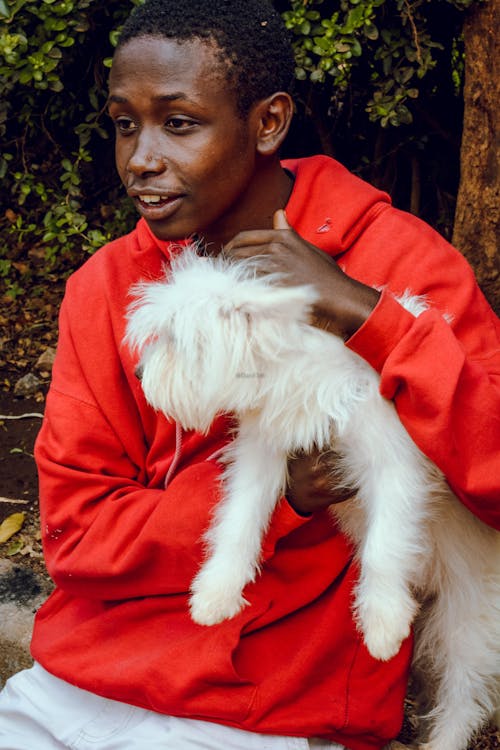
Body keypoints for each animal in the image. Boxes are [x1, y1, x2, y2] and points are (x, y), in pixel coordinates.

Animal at [124, 250, 496, 750]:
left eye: (178, 340)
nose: (139, 374)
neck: (295, 369)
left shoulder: (392, 464)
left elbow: (384, 547)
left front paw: (381, 622)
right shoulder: (262, 454)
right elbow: (239, 521)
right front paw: (215, 593)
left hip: (468, 623)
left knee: (462, 700)